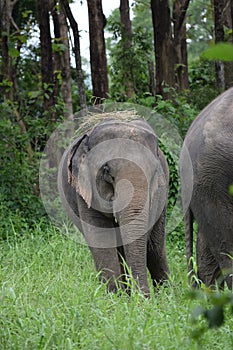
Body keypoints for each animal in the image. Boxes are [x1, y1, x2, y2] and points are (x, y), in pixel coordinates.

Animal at [58, 115, 169, 296]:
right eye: (106, 171)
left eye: (154, 173)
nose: (144, 298)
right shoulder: (84, 189)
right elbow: (101, 237)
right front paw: (114, 297)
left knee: (155, 248)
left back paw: (166, 293)